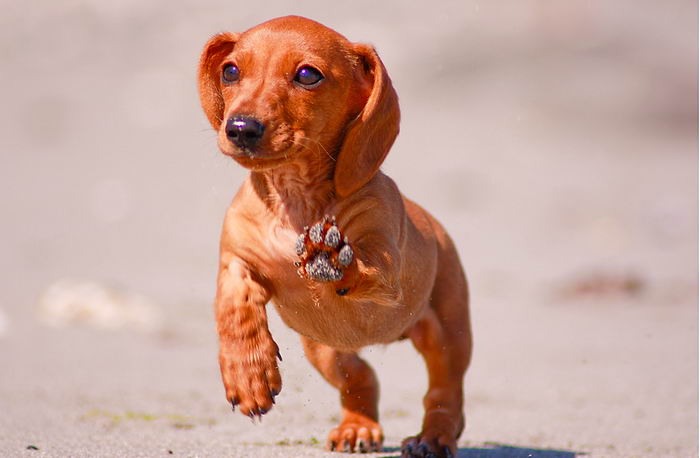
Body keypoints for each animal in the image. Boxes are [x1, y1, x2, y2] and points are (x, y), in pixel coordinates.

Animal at [196, 15, 470, 458]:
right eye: (230, 71)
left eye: (308, 75)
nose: (240, 128)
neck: (295, 203)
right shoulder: (236, 261)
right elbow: (234, 307)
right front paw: (248, 375)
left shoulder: (386, 266)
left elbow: (366, 263)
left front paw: (329, 256)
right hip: (325, 350)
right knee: (361, 377)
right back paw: (358, 427)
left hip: (448, 334)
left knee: (446, 395)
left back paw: (434, 437)